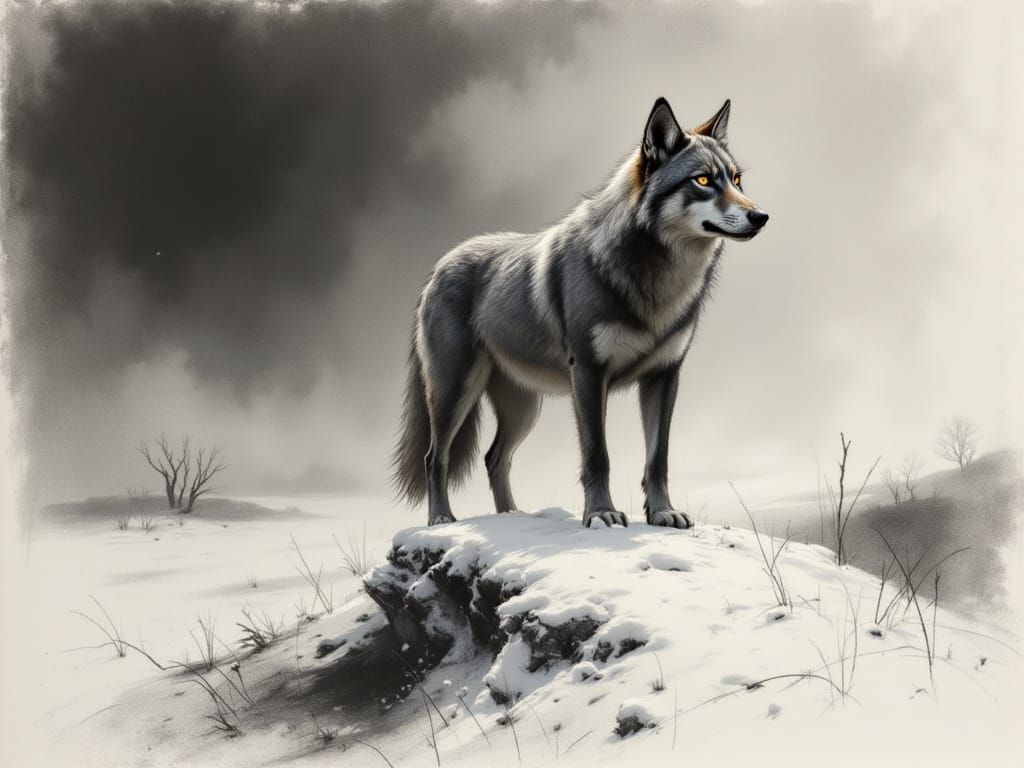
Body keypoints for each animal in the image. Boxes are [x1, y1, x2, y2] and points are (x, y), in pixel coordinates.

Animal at [392, 97, 768, 528]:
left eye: (737, 181)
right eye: (703, 181)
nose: (761, 216)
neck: (656, 278)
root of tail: (440, 265)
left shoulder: (664, 376)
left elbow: (657, 459)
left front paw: (663, 513)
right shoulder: (588, 373)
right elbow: (597, 455)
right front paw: (602, 513)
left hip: (523, 409)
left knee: (494, 458)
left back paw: (512, 517)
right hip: (455, 393)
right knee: (434, 457)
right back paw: (442, 519)